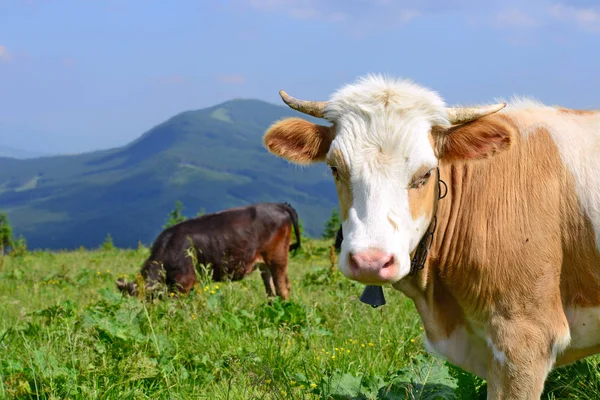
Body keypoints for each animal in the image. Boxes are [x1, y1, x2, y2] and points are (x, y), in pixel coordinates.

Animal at [116, 203, 302, 300]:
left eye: (146, 299)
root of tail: (278, 205)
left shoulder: (184, 283)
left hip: (277, 258)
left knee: (283, 288)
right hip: (264, 264)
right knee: (271, 290)